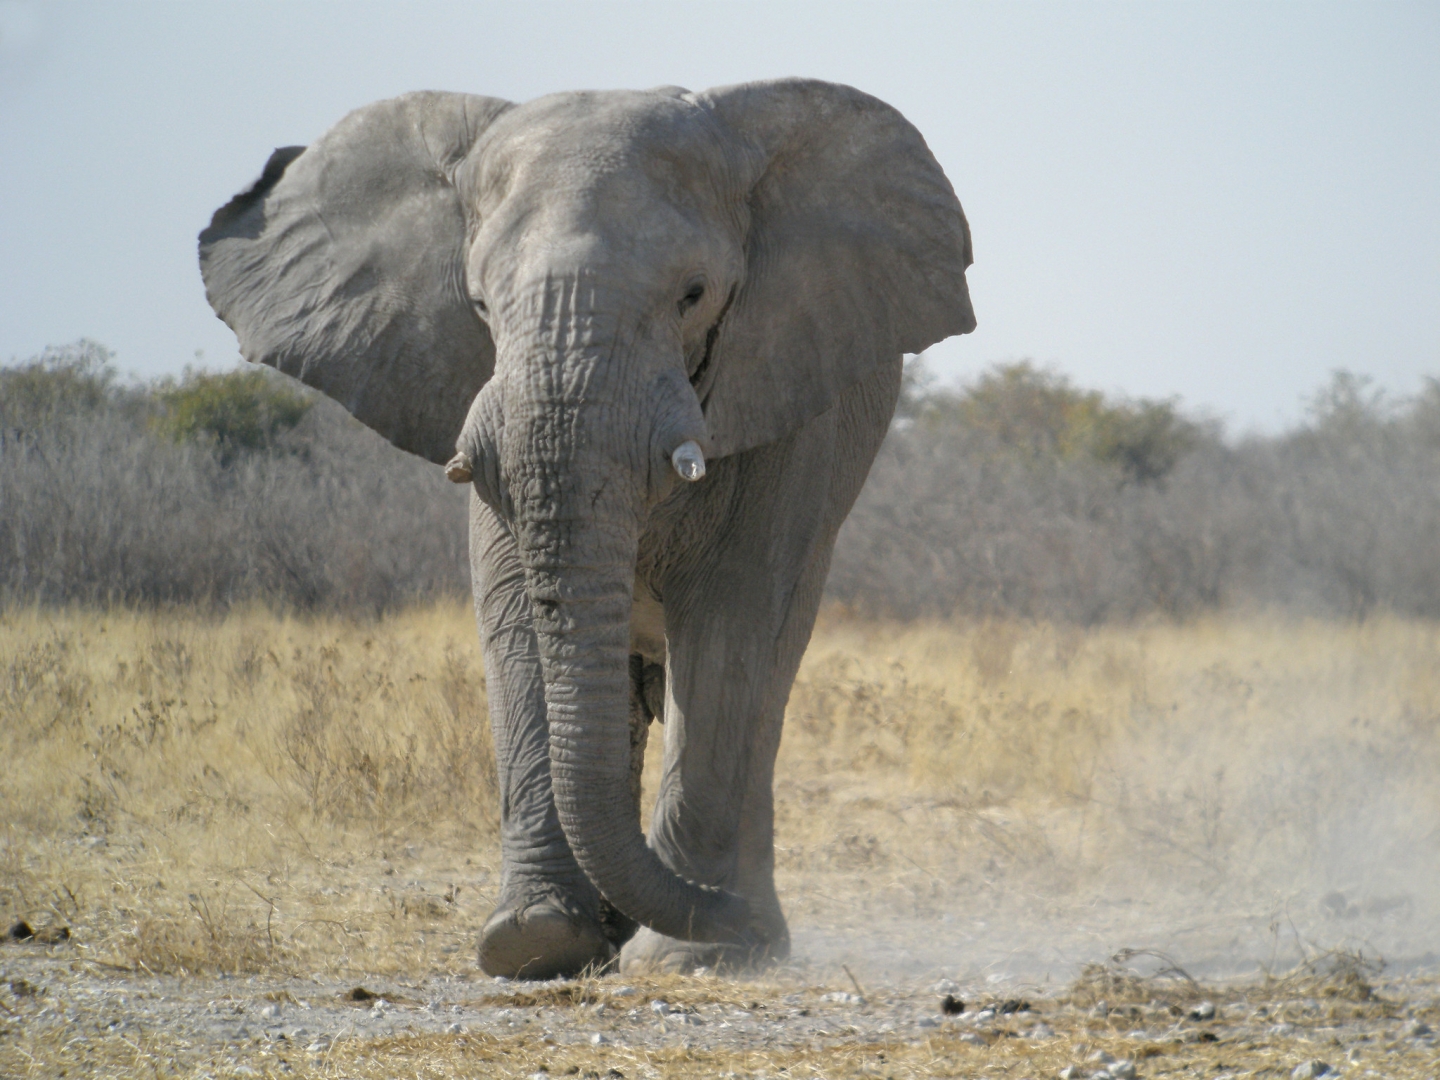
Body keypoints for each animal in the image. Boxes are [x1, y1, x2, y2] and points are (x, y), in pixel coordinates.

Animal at [194, 78, 979, 979]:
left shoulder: (788, 395)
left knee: (764, 675)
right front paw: (537, 940)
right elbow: (512, 618)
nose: (727, 917)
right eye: (478, 304)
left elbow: (735, 621)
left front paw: (692, 951)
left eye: (693, 295)